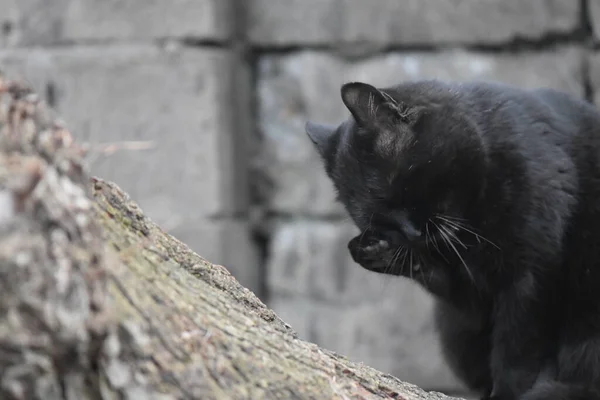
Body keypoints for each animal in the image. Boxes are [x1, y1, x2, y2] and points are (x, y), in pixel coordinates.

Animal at [308, 79, 600, 400]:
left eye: (401, 193)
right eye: (380, 221)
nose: (412, 234)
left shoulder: (531, 277)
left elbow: (517, 352)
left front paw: (508, 392)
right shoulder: (472, 297)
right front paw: (378, 251)